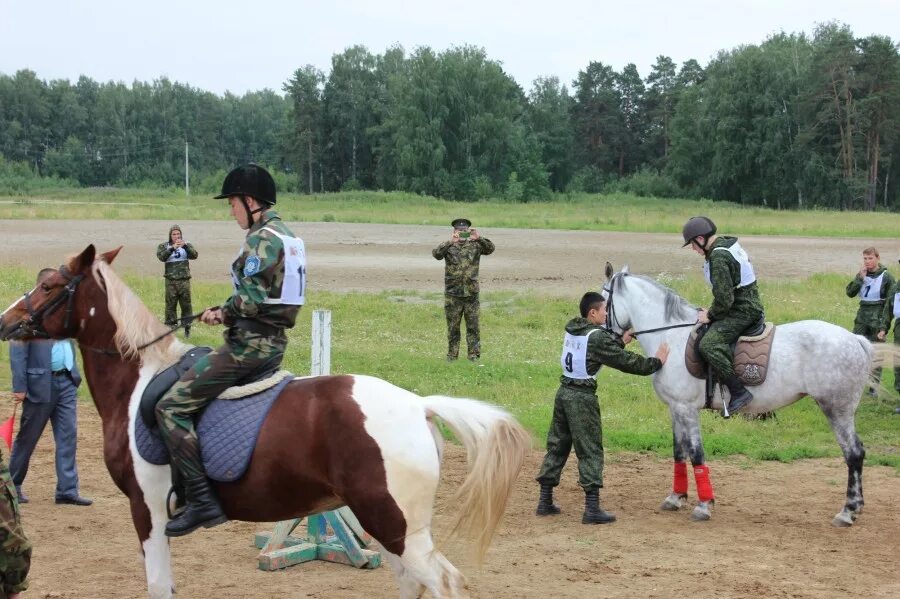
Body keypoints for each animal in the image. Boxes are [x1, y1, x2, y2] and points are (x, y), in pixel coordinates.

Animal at [0, 246, 532, 596]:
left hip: (396, 526)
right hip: (390, 527)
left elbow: (158, 585)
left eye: (48, 286)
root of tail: (418, 405)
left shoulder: (146, 511)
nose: (5, 320)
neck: (138, 381)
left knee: (444, 582)